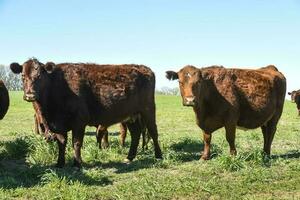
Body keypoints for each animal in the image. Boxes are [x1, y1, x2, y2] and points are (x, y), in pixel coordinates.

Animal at [10, 58, 162, 168]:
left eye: (40, 76)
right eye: (22, 76)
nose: (30, 95)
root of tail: (145, 68)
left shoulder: (79, 121)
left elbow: (76, 143)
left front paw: (77, 163)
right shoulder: (59, 125)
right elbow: (61, 143)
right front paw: (60, 163)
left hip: (148, 110)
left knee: (153, 132)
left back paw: (158, 155)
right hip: (130, 116)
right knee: (136, 134)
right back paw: (129, 157)